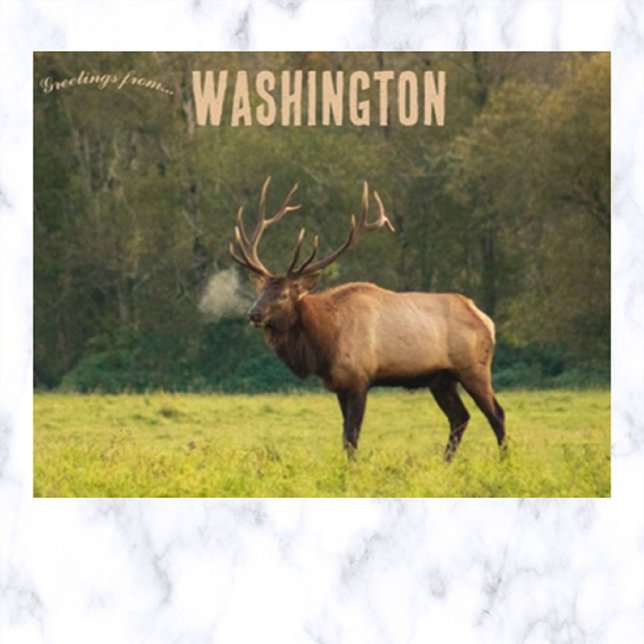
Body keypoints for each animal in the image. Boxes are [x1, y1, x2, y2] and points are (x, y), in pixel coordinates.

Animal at [229, 177, 506, 461]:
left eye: (283, 294)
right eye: (260, 290)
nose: (254, 313)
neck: (324, 346)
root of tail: (486, 320)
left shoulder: (359, 379)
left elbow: (352, 436)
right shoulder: (339, 385)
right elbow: (345, 437)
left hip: (474, 368)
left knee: (496, 413)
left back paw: (504, 461)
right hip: (441, 379)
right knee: (460, 417)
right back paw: (445, 463)